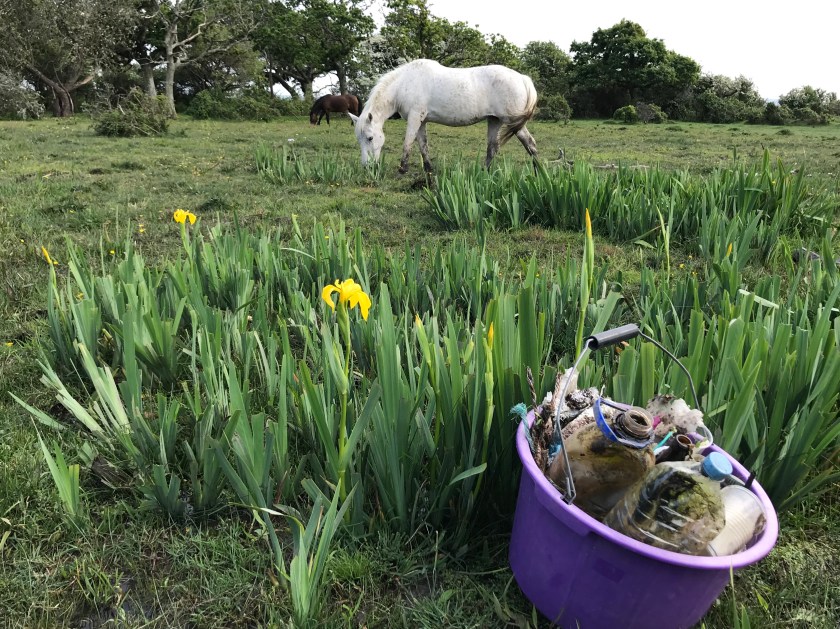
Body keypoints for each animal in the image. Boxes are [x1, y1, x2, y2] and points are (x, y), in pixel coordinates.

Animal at [348, 59, 538, 174]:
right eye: (359, 139)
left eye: (370, 138)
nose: (366, 167)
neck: (404, 83)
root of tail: (523, 78)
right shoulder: (421, 121)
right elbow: (423, 145)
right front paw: (428, 168)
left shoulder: (414, 118)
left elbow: (408, 142)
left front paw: (402, 169)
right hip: (495, 121)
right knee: (492, 148)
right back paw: (484, 172)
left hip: (513, 122)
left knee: (530, 144)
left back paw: (538, 173)